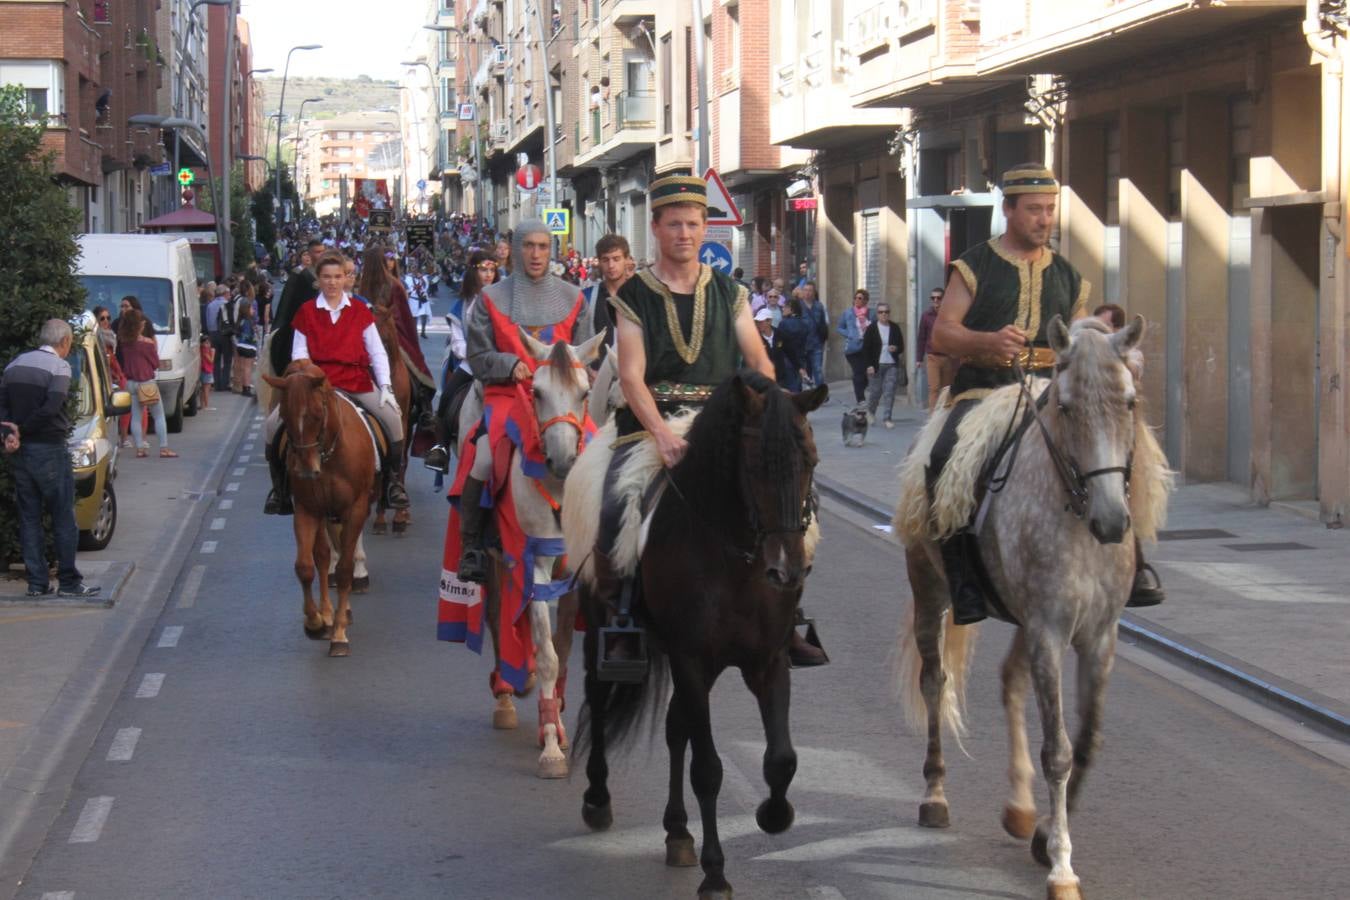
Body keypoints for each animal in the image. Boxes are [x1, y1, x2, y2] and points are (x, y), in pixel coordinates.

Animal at [260, 361, 378, 658]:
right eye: (285, 416)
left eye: (316, 414)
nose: (306, 470)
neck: (328, 456)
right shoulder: (307, 510)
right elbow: (306, 566)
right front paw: (315, 622)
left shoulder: (355, 510)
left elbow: (345, 569)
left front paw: (338, 634)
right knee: (324, 557)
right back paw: (328, 613)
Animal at [453, 327, 602, 777]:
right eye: (535, 392)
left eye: (585, 392)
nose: (563, 460)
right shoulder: (534, 567)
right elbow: (548, 652)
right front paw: (551, 747)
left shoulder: (575, 576)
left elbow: (564, 647)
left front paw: (556, 724)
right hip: (495, 555)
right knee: (496, 612)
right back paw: (506, 691)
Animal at [569, 369, 820, 895]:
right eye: (755, 465)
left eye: (810, 461)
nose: (787, 571)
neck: (735, 558)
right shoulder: (691, 660)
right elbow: (708, 769)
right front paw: (716, 874)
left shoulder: (768, 661)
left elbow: (781, 759)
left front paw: (773, 815)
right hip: (602, 621)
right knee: (599, 701)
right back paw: (598, 798)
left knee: (674, 728)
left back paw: (678, 831)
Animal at [891, 315, 1166, 900]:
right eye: (1065, 406)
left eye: (1130, 401)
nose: (1113, 521)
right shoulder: (1049, 631)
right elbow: (1057, 750)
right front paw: (1061, 866)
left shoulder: (1094, 636)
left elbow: (1086, 741)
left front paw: (1043, 836)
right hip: (930, 587)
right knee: (934, 681)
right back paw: (935, 796)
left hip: (1024, 621)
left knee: (1010, 680)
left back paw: (1019, 808)